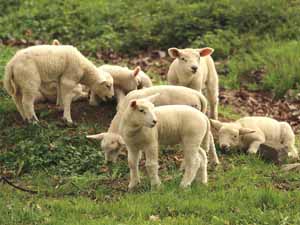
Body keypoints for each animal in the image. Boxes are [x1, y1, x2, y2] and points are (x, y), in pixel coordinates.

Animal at [86, 84, 220, 165]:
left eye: (115, 149)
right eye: (103, 149)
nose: (108, 163)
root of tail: (199, 96)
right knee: (209, 136)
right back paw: (215, 160)